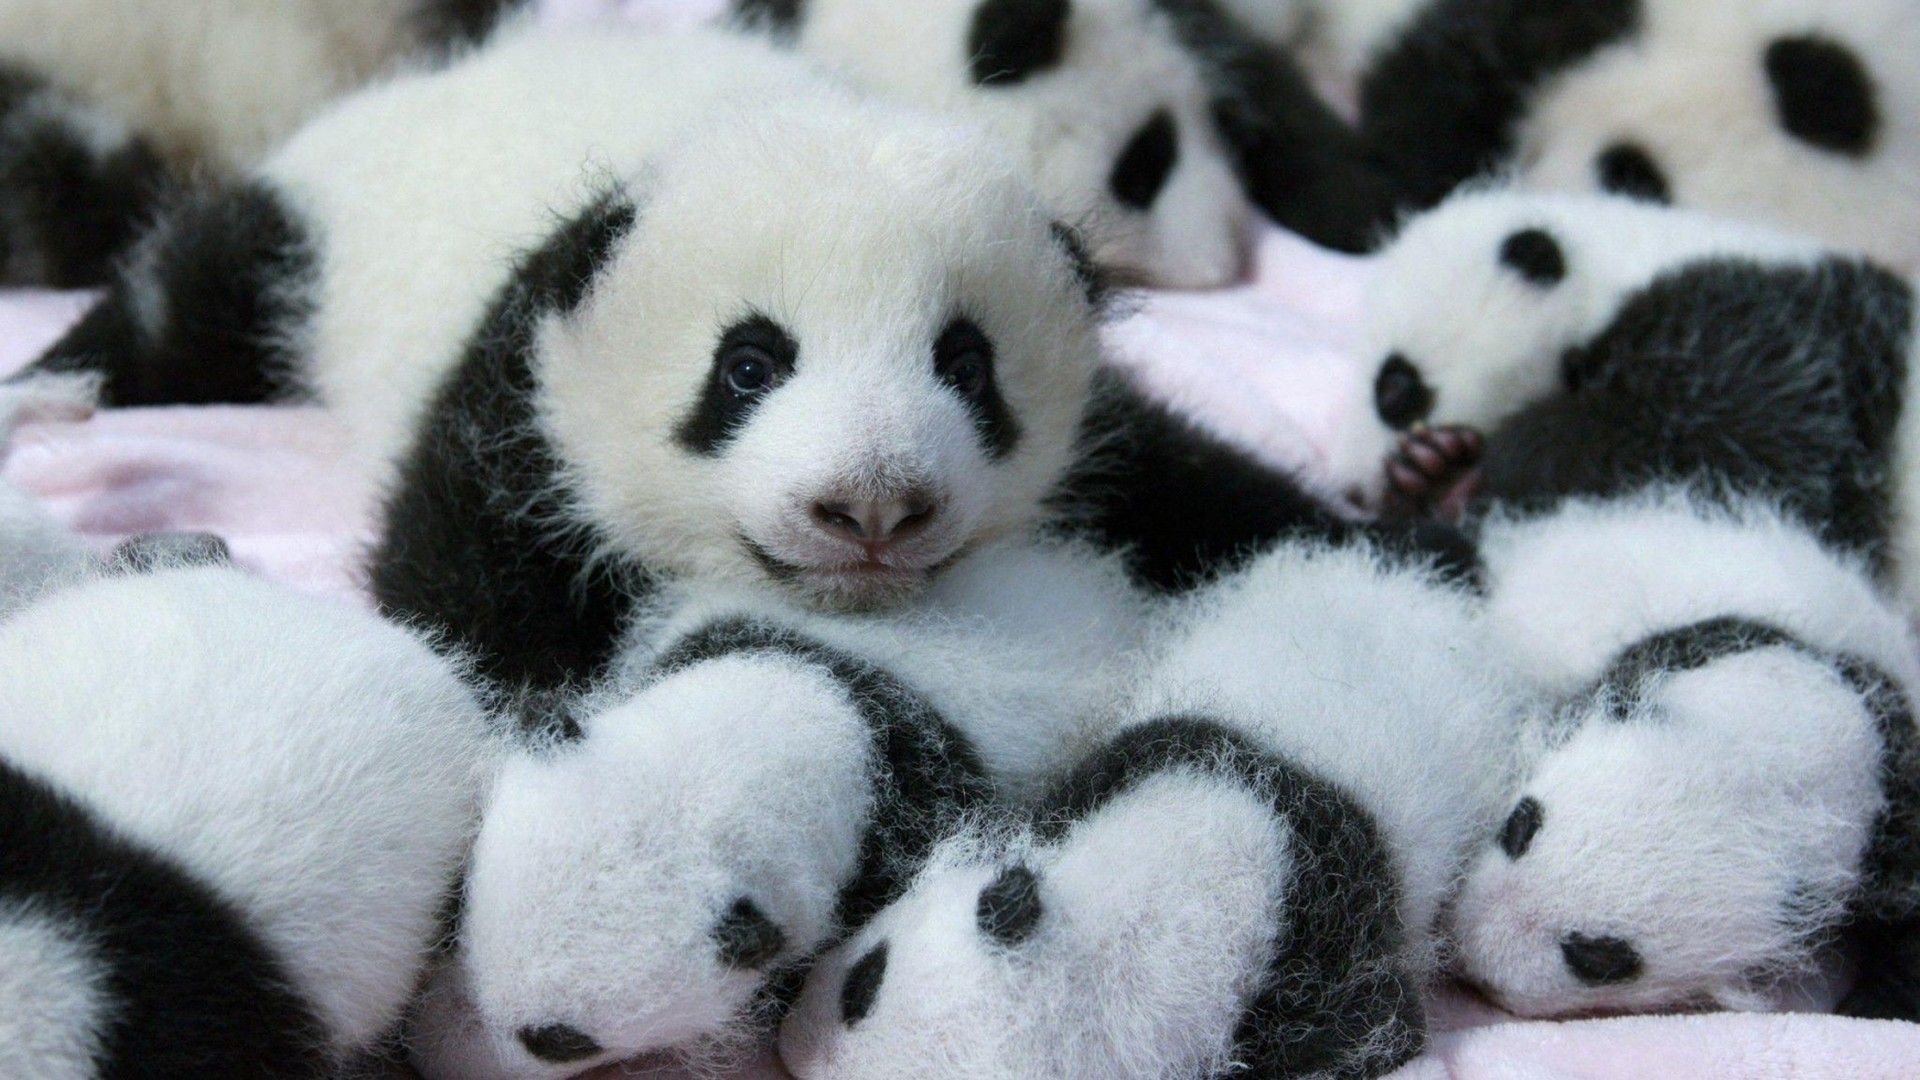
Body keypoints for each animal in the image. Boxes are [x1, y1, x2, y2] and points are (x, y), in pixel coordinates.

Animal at [778, 537, 1524, 1079]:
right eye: (866, 970)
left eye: (861, 990)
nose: (794, 1044)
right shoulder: (1131, 763)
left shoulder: (1332, 962)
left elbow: (1378, 1029)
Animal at [1323, 187, 1920, 608]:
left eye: (1393, 388)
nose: (1353, 486)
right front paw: (1429, 473)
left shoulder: (1767, 334)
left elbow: (1756, 452)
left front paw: (1472, 470)